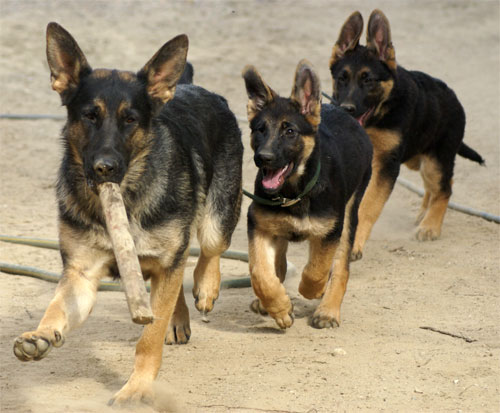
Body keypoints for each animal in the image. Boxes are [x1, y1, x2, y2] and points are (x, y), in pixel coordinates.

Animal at [12, 22, 243, 402]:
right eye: (89, 116)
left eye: (130, 120)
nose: (104, 168)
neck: (126, 200)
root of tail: (192, 86)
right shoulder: (81, 274)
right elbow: (56, 308)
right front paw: (41, 335)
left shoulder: (167, 261)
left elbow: (148, 339)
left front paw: (137, 388)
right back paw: (178, 316)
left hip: (217, 217)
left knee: (208, 250)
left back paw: (206, 287)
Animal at [240, 59, 374, 328]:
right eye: (259, 130)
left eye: (289, 131)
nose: (263, 158)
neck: (295, 192)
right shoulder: (257, 223)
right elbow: (260, 271)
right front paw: (279, 307)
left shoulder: (330, 231)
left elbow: (317, 269)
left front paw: (313, 289)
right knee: (278, 261)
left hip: (349, 215)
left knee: (340, 268)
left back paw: (328, 310)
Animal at [330, 9, 482, 260]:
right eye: (342, 78)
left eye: (368, 80)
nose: (346, 109)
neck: (381, 114)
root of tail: (453, 97)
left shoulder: (386, 166)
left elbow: (368, 206)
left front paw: (354, 243)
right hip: (418, 159)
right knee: (440, 183)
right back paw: (425, 213)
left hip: (434, 161)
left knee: (445, 188)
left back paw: (430, 226)